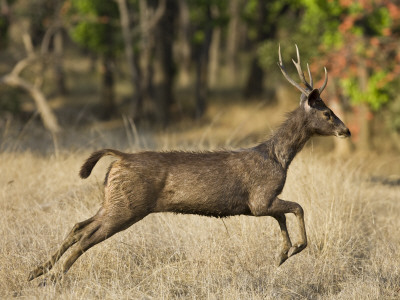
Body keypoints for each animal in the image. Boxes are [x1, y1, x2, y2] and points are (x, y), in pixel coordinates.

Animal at [28, 45, 350, 284]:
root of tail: (119, 158)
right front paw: (296, 248)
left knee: (78, 226)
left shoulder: (262, 203)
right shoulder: (260, 199)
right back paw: (53, 278)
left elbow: (284, 217)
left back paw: (37, 271)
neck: (278, 159)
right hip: (128, 206)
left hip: (112, 200)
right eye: (327, 113)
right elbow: (297, 208)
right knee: (87, 236)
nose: (346, 130)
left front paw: (283, 253)